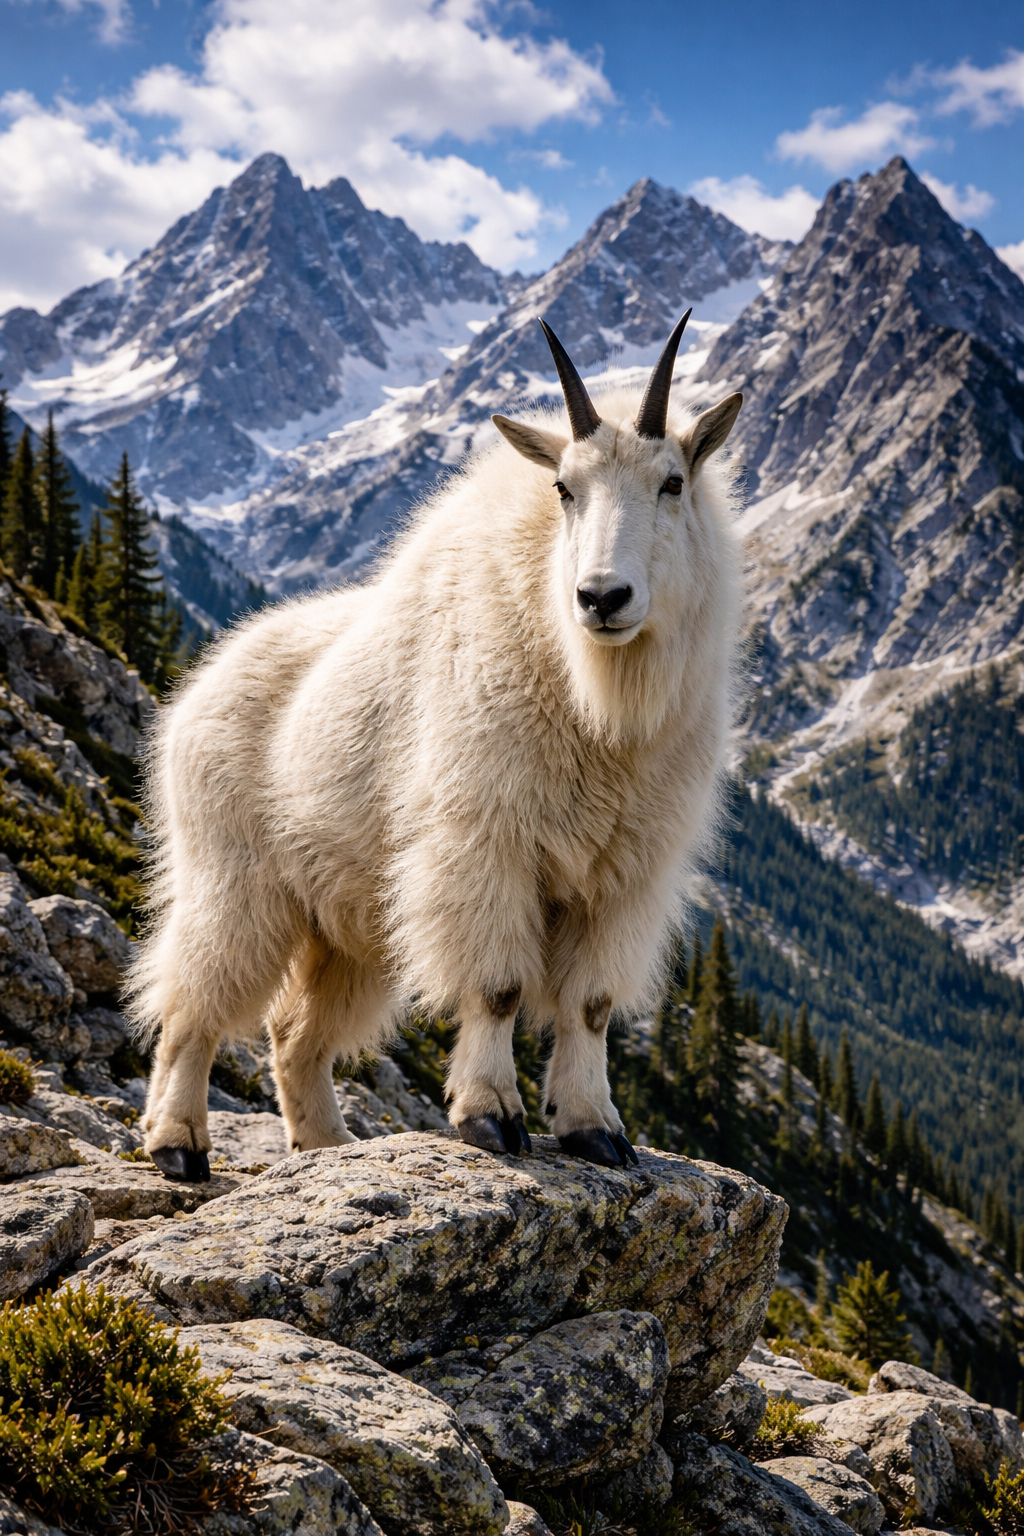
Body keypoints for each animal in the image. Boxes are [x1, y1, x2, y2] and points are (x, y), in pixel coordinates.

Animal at [131, 315, 744, 1180]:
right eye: (564, 488)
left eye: (673, 482)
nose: (602, 597)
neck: (596, 705)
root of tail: (193, 693)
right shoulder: (486, 844)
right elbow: (498, 988)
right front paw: (490, 1116)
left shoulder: (624, 875)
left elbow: (589, 1005)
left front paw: (594, 1129)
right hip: (236, 879)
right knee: (191, 999)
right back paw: (177, 1144)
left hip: (349, 921)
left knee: (294, 1033)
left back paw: (326, 1146)